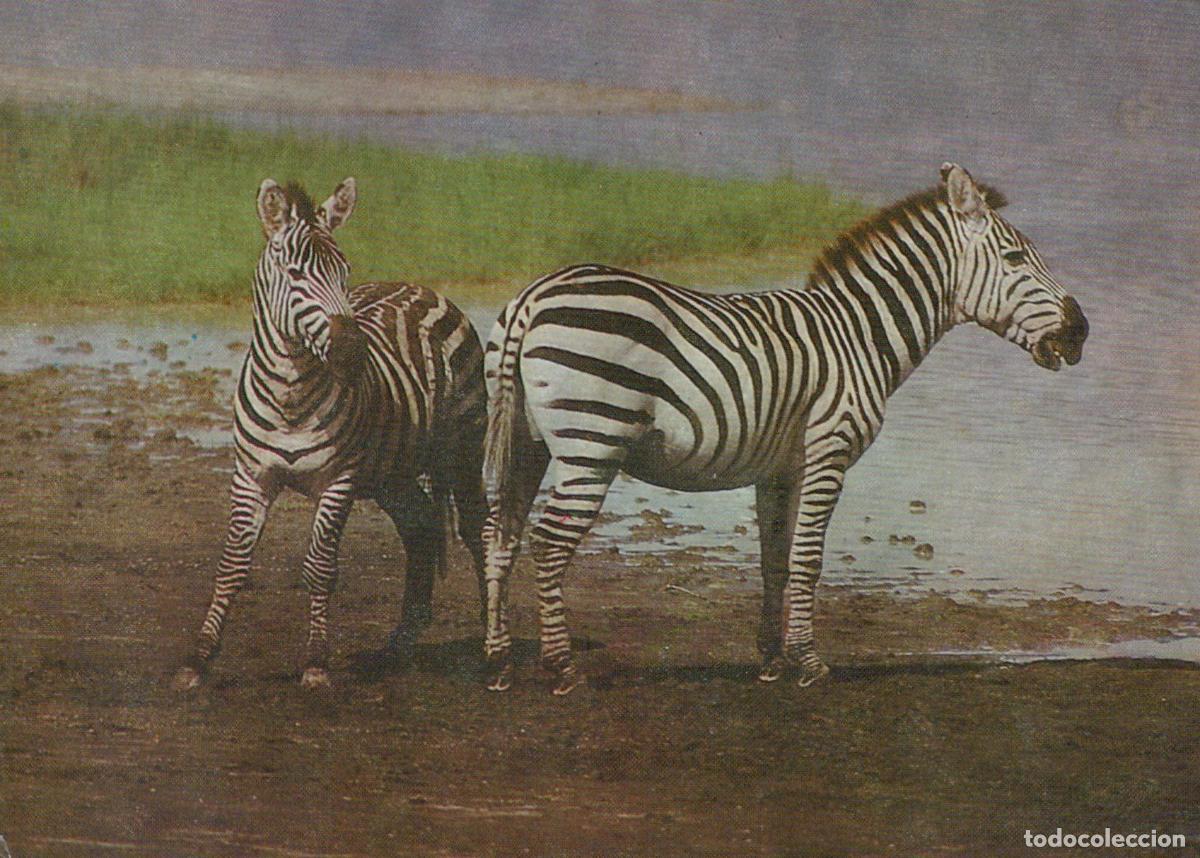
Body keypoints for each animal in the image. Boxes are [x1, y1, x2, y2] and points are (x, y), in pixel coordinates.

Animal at [174, 178, 487, 691]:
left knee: (481, 532)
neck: (290, 397)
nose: (352, 351)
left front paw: (317, 662)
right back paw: (399, 644)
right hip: (391, 474)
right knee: (421, 526)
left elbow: (320, 568)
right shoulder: (252, 476)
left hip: (462, 449)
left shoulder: (338, 481)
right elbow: (231, 565)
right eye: (295, 273)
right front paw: (199, 659)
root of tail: (418, 286)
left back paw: (492, 643)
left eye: (345, 273)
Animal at [480, 163, 1089, 694]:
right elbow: (808, 560)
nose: (1081, 330)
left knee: (499, 535)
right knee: (549, 543)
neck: (859, 334)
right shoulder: (828, 452)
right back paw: (562, 669)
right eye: (1015, 257)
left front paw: (772, 659)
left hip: (526, 443)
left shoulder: (778, 470)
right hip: (593, 443)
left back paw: (499, 662)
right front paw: (810, 664)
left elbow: (774, 560)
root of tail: (533, 295)